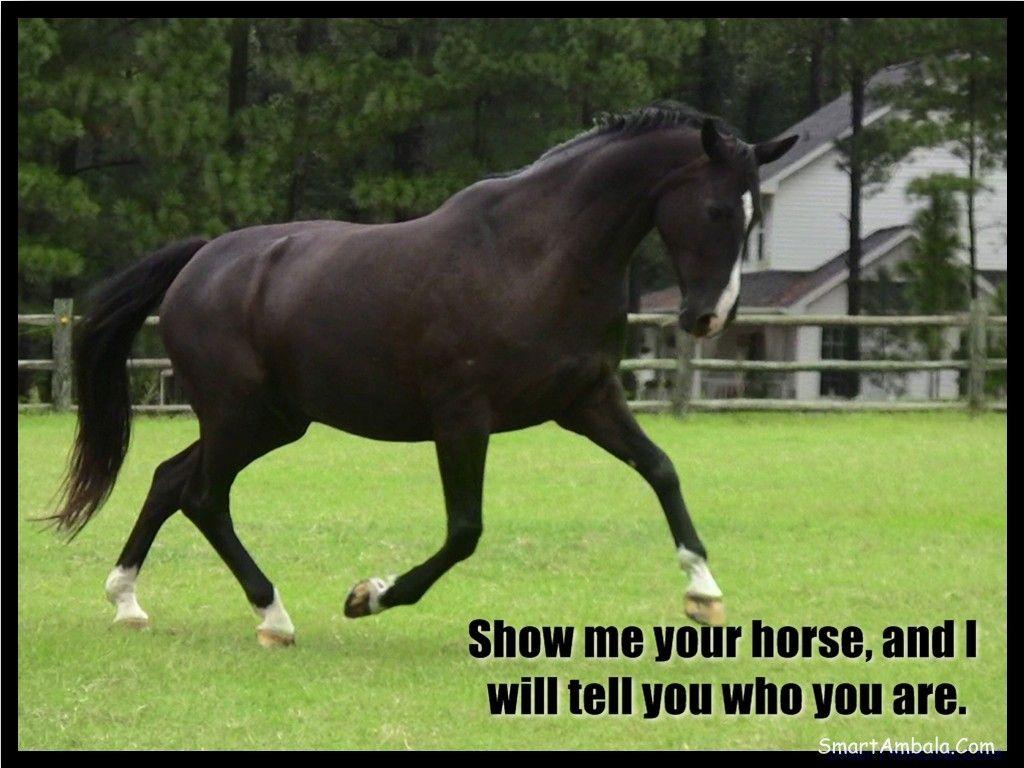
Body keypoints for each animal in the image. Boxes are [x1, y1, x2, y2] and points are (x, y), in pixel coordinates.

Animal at [52, 102, 797, 647]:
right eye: (717, 210)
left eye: (757, 215)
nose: (709, 317)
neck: (537, 255)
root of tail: (201, 261)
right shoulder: (463, 418)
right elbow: (464, 531)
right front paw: (369, 596)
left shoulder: (586, 400)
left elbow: (661, 469)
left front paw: (703, 591)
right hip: (242, 417)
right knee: (204, 496)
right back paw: (274, 618)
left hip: (272, 420)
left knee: (170, 479)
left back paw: (127, 601)